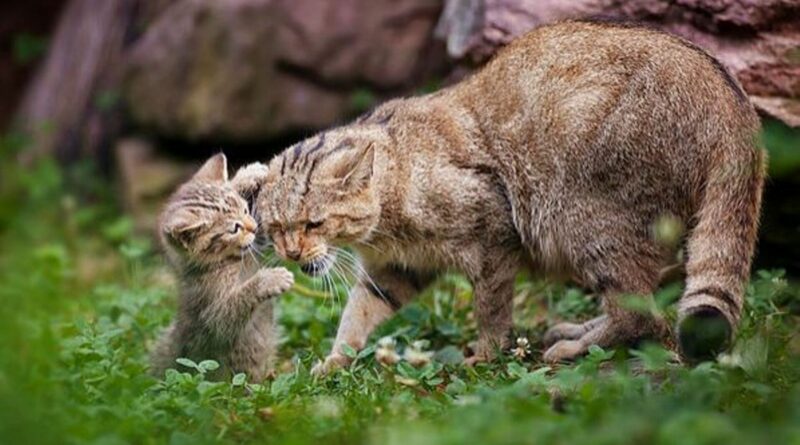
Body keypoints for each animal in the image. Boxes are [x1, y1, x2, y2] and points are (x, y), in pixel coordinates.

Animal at [150, 154, 294, 380]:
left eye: (245, 210)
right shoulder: (212, 313)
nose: (253, 227)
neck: (226, 262)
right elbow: (232, 308)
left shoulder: (256, 245)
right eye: (234, 229)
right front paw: (269, 280)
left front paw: (247, 176)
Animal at [255, 21, 764, 374]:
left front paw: (484, 355)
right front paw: (335, 362)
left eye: (314, 223)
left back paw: (574, 346)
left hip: (588, 221)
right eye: (277, 228)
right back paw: (579, 330)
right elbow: (357, 315)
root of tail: (734, 104)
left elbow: (492, 309)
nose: (292, 253)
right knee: (648, 304)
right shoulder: (396, 270)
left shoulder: (493, 238)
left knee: (639, 313)